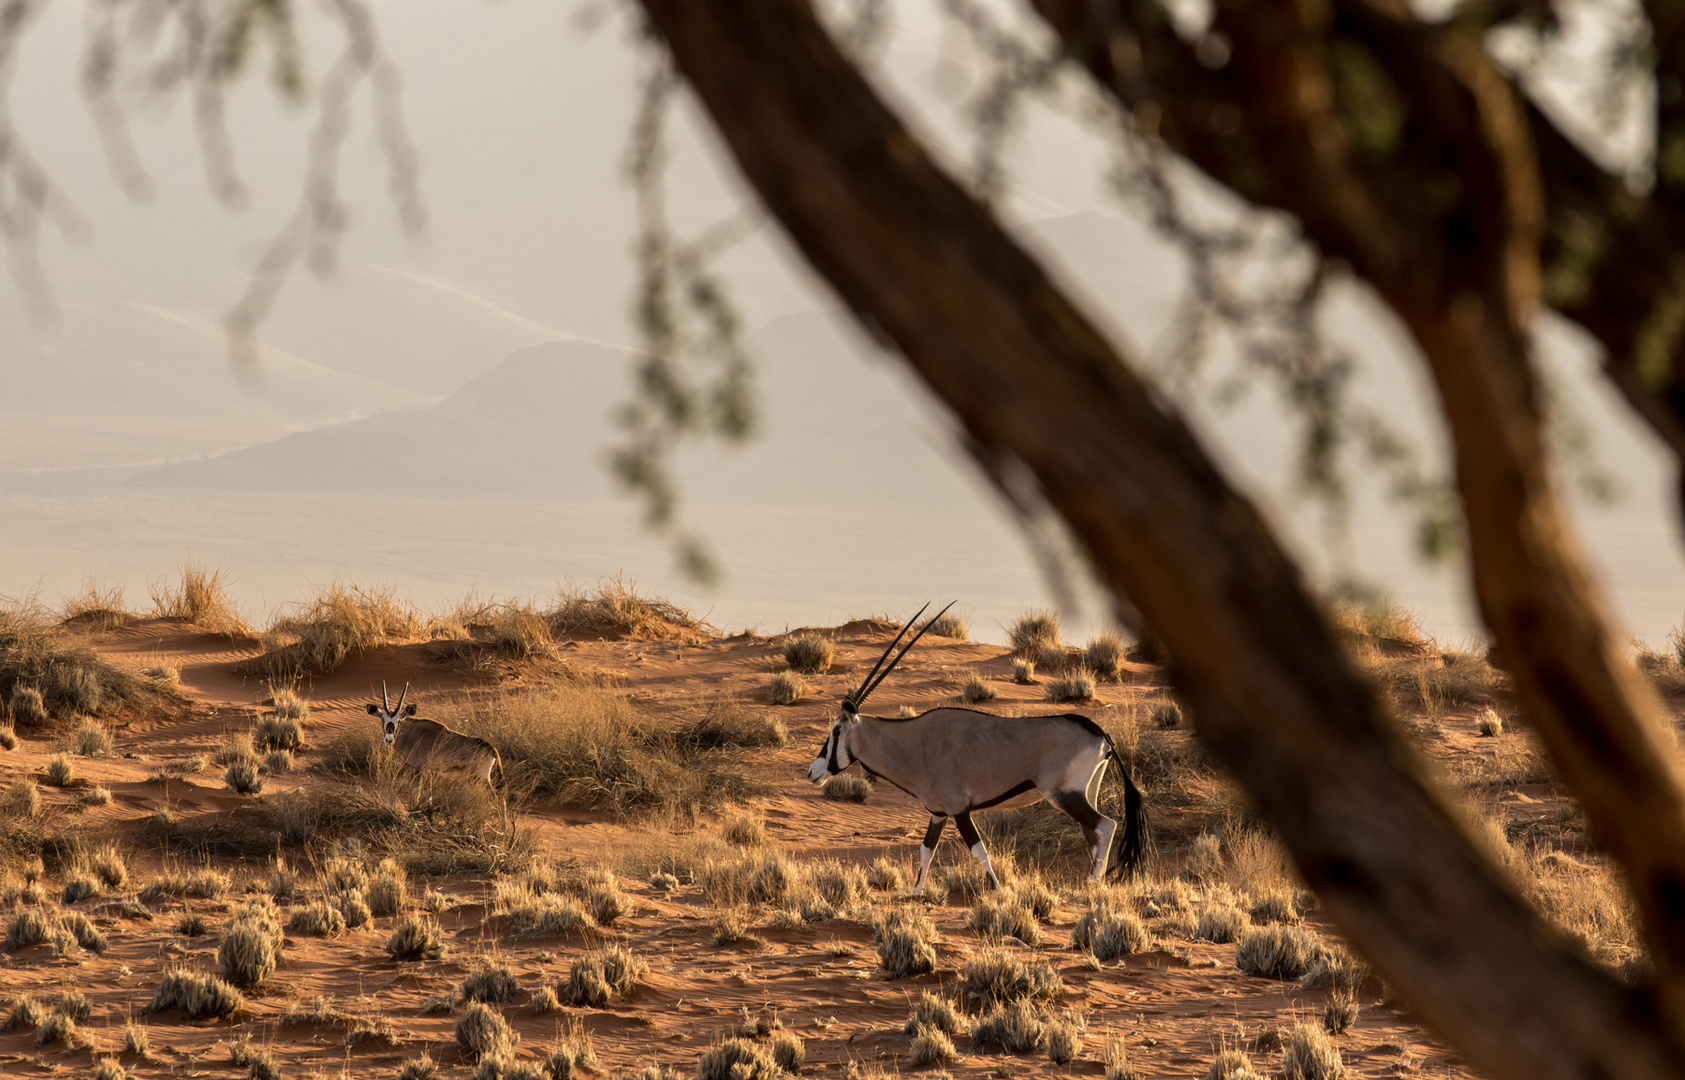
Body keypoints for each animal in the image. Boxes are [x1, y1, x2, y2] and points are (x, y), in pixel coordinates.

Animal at [369, 680, 498, 781]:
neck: (411, 734)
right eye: (382, 719)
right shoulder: (428, 771)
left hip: (482, 778)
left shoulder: (418, 768)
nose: (389, 739)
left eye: (399, 721)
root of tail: (491, 749)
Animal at [808, 603, 1152, 889]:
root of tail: (1099, 733)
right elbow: (925, 851)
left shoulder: (958, 809)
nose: (813, 772)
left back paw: (1093, 884)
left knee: (1105, 826)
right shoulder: (938, 812)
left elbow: (978, 851)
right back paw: (1096, 880)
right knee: (1093, 834)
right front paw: (915, 892)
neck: (913, 742)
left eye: (836, 729)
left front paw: (998, 890)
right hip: (1085, 793)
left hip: (1064, 796)